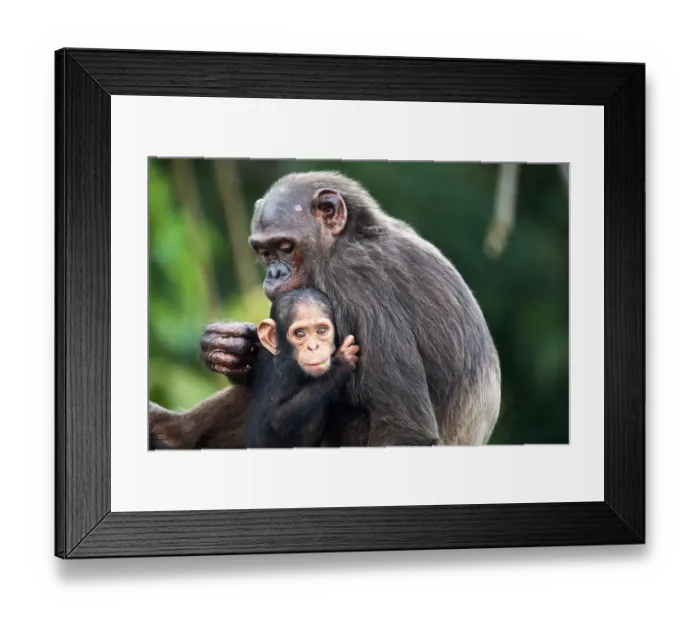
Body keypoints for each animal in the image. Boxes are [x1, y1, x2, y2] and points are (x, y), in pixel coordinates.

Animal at [244, 288, 360, 448]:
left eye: (321, 330)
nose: (313, 346)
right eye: (300, 333)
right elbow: (278, 418)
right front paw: (342, 362)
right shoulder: (285, 375)